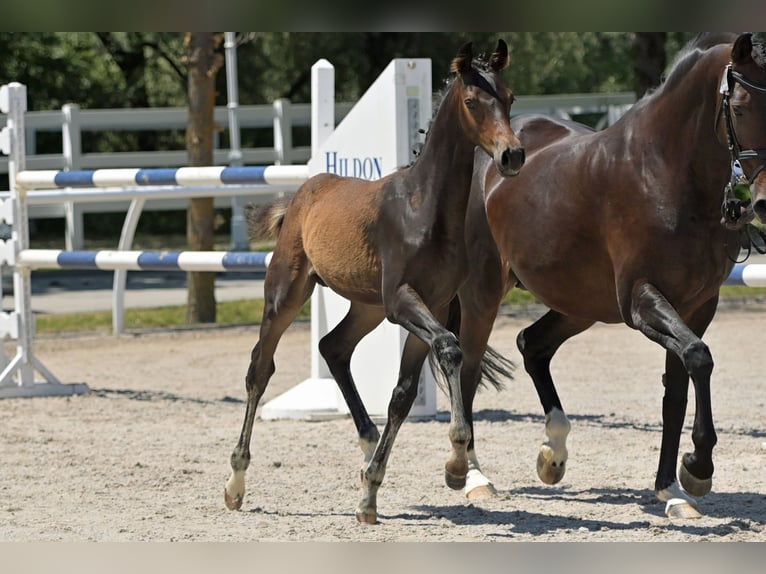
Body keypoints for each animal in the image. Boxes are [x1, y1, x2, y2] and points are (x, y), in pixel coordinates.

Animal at [224, 39, 525, 524]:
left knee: (333, 347)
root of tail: (301, 195)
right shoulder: (402, 302)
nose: (512, 156)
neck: (424, 210)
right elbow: (450, 348)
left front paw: (373, 491)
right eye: (471, 101)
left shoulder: (432, 305)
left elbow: (404, 393)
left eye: (510, 98)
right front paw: (457, 464)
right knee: (259, 370)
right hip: (287, 293)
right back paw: (235, 483)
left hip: (366, 306)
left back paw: (367, 449)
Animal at [454, 32, 766, 519]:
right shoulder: (641, 300)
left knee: (532, 345)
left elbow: (678, 390)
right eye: (741, 107)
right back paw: (474, 478)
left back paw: (553, 454)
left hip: (579, 303)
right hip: (484, 294)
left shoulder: (698, 304)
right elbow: (699, 358)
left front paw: (672, 490)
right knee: (467, 370)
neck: (666, 170)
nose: (764, 199)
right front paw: (697, 467)